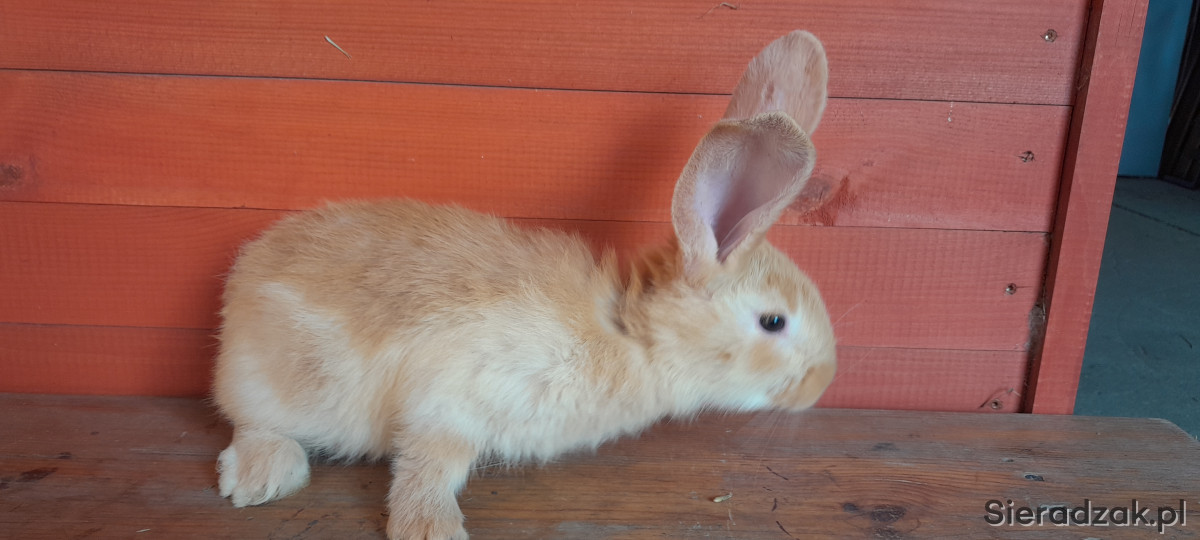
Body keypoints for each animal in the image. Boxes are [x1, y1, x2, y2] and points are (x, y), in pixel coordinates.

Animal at [213, 30, 836, 540]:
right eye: (774, 321)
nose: (820, 386)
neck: (629, 334)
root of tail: (242, 282)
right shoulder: (450, 398)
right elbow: (431, 463)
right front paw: (430, 529)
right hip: (283, 382)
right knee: (250, 420)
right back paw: (261, 479)